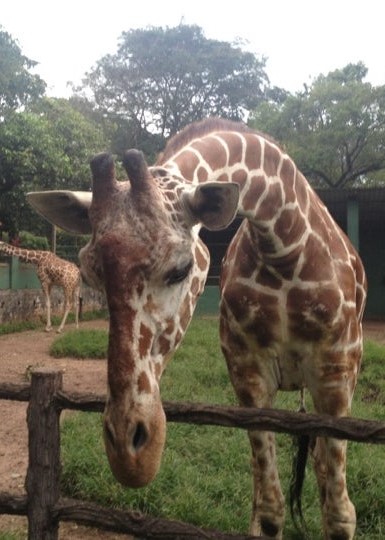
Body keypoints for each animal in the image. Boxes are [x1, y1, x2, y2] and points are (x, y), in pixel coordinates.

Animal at [27, 119, 366, 540]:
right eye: (90, 273)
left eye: (180, 269)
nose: (129, 454)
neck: (284, 247)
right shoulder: (248, 376)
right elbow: (269, 511)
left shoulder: (337, 376)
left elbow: (339, 515)